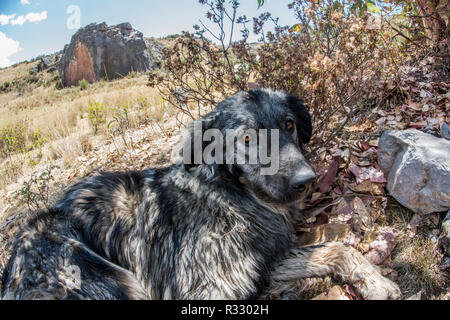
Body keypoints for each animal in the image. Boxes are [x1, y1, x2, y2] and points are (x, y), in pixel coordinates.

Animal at [0, 88, 400, 300]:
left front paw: (375, 282)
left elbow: (337, 248)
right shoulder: (207, 289)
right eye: (247, 138)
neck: (230, 197)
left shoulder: (260, 263)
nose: (308, 180)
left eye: (288, 124)